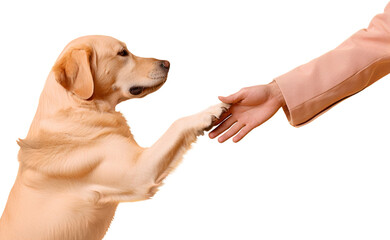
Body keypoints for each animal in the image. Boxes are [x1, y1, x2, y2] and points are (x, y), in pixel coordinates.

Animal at [0, 35, 229, 240]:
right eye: (122, 53)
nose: (167, 63)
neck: (81, 106)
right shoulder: (138, 172)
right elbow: (177, 123)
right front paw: (209, 112)